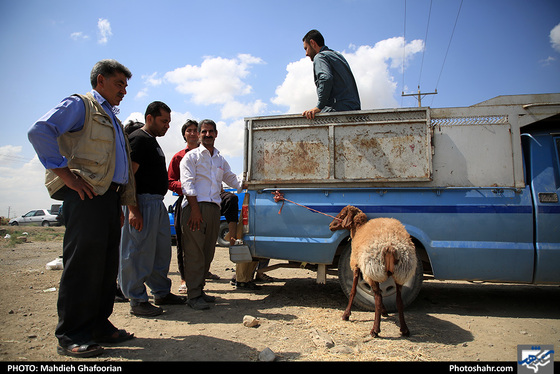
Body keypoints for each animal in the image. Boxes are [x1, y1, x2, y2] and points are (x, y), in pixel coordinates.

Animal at [328, 206, 416, 338]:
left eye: (342, 214)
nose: (331, 225)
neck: (358, 229)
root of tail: (390, 247)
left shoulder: (356, 265)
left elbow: (353, 291)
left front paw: (346, 314)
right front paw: (385, 311)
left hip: (373, 269)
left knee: (378, 298)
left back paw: (375, 330)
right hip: (400, 272)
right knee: (398, 300)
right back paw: (404, 329)